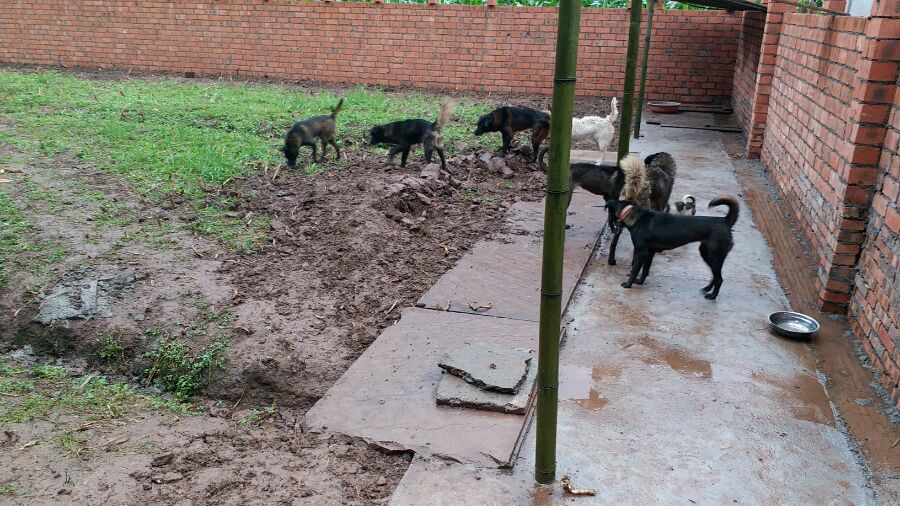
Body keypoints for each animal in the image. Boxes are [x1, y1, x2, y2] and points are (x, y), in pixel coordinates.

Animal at [604, 197, 740, 300]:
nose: (612, 227)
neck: (632, 214)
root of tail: (725, 221)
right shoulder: (650, 252)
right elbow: (645, 269)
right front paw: (640, 282)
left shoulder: (641, 252)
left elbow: (634, 270)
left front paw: (628, 284)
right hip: (706, 253)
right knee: (715, 275)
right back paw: (707, 289)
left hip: (714, 255)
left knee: (719, 279)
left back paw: (712, 296)